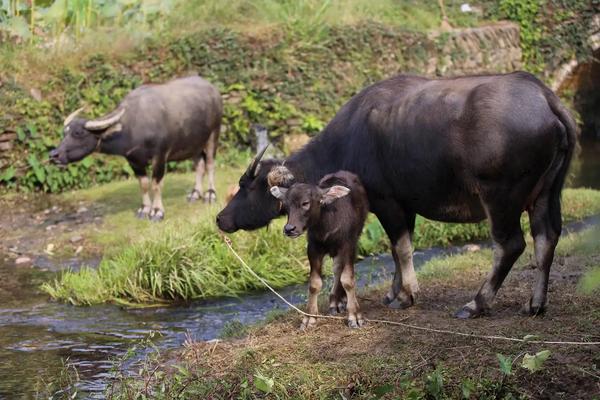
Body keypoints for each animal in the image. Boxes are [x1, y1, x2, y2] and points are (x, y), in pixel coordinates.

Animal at [50, 75, 221, 222]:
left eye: (78, 133)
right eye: (64, 133)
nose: (53, 155)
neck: (133, 127)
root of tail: (213, 89)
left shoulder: (160, 157)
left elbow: (156, 184)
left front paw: (157, 212)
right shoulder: (133, 160)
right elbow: (144, 184)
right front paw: (144, 209)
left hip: (213, 134)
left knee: (210, 164)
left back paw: (210, 195)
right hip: (194, 143)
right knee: (199, 165)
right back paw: (195, 194)